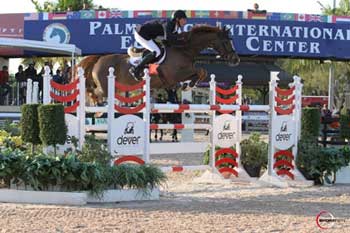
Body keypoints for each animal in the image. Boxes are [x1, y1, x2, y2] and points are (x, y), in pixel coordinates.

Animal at [77, 24, 239, 104]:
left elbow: (202, 72)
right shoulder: (174, 75)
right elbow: (199, 71)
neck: (184, 50)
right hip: (105, 87)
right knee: (93, 92)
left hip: (116, 88)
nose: (235, 60)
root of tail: (99, 59)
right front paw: (188, 84)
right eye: (226, 41)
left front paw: (188, 84)